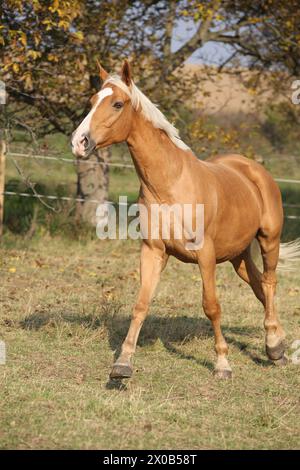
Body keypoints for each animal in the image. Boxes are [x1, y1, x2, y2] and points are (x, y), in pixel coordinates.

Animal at [71, 60, 298, 380]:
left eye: (117, 103)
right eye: (92, 102)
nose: (79, 142)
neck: (170, 184)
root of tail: (253, 168)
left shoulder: (205, 254)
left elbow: (211, 306)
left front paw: (222, 364)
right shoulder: (153, 251)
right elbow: (141, 304)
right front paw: (122, 364)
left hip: (269, 240)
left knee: (269, 283)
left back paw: (274, 345)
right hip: (238, 255)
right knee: (259, 288)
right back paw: (276, 347)